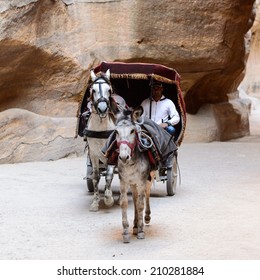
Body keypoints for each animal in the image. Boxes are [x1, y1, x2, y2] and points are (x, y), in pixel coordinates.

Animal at [114, 106, 154, 242]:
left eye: (132, 131)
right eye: (116, 132)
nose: (123, 157)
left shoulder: (142, 181)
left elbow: (141, 204)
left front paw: (141, 231)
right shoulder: (124, 181)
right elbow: (125, 203)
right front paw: (126, 231)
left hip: (149, 177)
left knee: (146, 194)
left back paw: (146, 218)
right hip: (133, 183)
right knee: (136, 198)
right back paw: (135, 225)